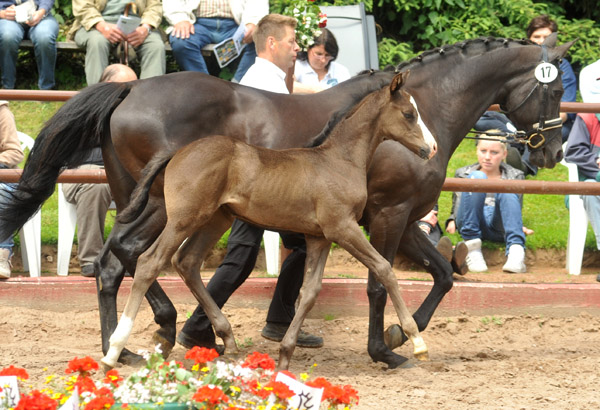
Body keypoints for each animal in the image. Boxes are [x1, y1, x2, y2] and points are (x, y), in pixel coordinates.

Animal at [0, 36, 572, 368]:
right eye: (552, 88)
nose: (552, 151)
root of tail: (129, 90)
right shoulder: (388, 216)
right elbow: (379, 281)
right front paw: (388, 347)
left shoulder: (403, 218)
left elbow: (443, 275)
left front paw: (397, 334)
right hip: (166, 208)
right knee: (129, 258)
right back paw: (139, 339)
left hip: (148, 200)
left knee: (124, 262)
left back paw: (149, 339)